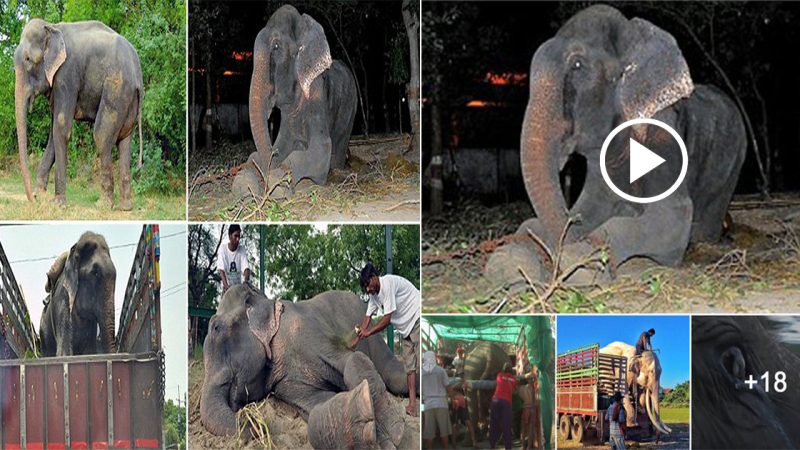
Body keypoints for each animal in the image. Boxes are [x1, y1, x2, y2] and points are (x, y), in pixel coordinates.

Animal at [14, 18, 142, 211]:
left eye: (28, 59)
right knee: (125, 140)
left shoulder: (66, 74)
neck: (52, 27)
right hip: (129, 99)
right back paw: (125, 207)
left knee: (102, 135)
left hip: (117, 88)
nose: (33, 198)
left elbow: (61, 127)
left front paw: (58, 203)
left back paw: (103, 205)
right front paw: (42, 195)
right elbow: (54, 131)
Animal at [200, 284, 412, 448]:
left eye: (216, 328)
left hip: (375, 340)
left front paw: (392, 436)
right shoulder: (283, 381)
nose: (253, 423)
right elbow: (315, 402)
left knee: (395, 377)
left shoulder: (306, 330)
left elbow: (352, 358)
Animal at [231, 3, 356, 197]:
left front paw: (279, 183)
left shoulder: (316, 93)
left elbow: (322, 150)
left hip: (351, 110)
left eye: (276, 46)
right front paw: (245, 181)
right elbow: (280, 145)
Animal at [484, 6, 748, 284]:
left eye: (577, 65)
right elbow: (590, 207)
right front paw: (510, 257)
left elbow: (674, 217)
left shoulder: (663, 129)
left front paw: (582, 263)